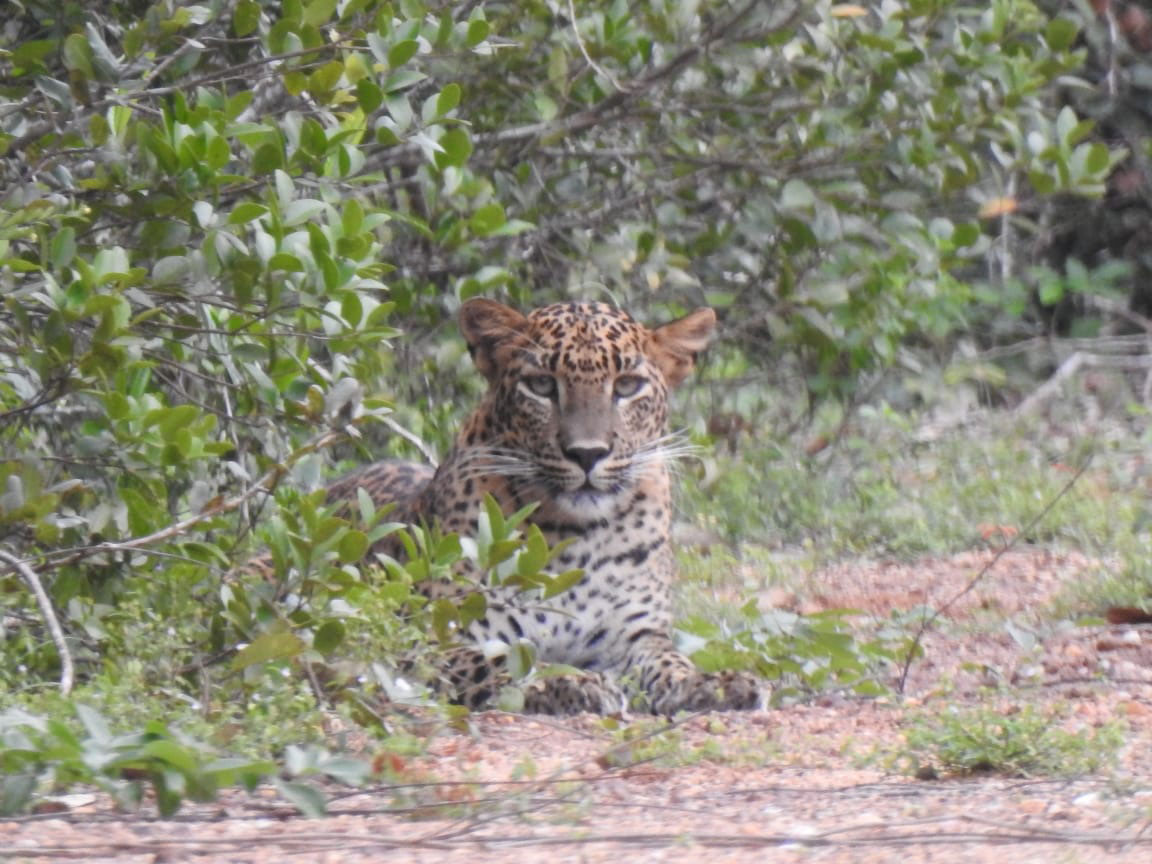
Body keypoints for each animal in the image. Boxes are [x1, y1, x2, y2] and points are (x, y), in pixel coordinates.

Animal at [324, 298, 763, 716]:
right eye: (541, 385)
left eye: (627, 386)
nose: (588, 454)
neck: (576, 536)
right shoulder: (433, 637)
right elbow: (504, 663)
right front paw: (569, 683)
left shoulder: (635, 638)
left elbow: (671, 664)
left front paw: (716, 684)